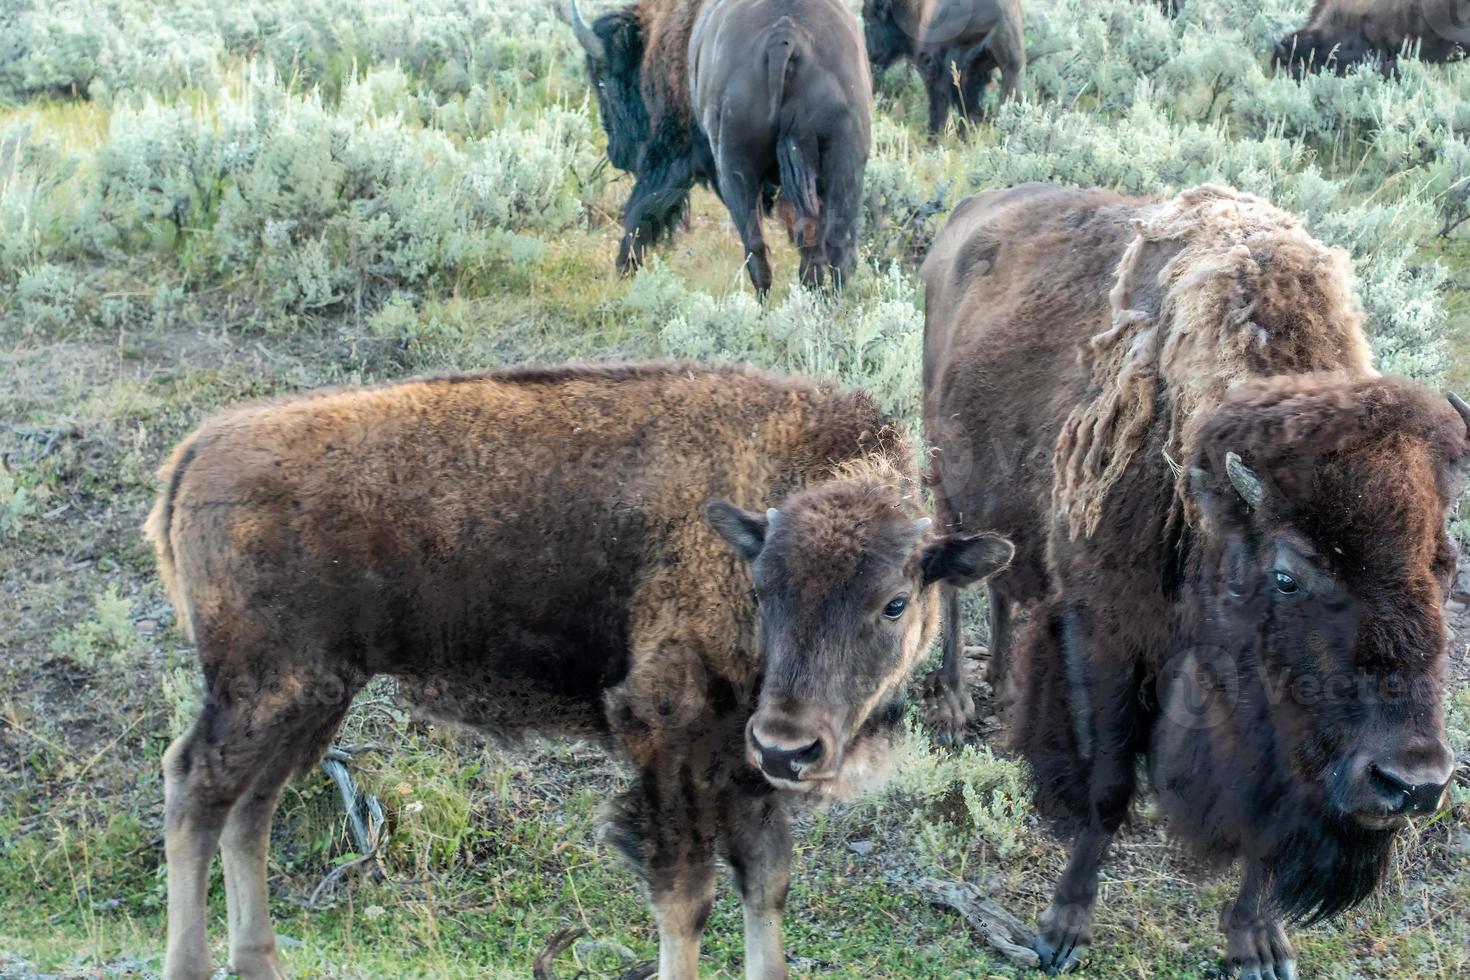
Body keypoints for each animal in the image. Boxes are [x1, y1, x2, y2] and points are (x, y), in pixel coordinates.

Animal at [155, 362, 1017, 980]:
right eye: (763, 589)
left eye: (896, 602)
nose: (791, 746)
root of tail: (199, 447)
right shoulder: (668, 742)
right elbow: (686, 899)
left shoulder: (742, 770)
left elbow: (765, 888)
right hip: (262, 691)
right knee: (195, 788)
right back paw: (192, 965)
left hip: (311, 696)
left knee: (250, 809)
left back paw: (259, 964)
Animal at [567, 0, 870, 290]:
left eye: (604, 80)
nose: (616, 152)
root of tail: (785, 37)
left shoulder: (673, 154)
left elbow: (643, 209)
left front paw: (623, 269)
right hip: (845, 162)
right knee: (835, 245)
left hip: (735, 170)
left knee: (757, 249)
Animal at [923, 182, 1464, 975]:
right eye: (1287, 576)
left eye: (1445, 565)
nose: (1411, 783)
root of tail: (969, 212)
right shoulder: (1110, 636)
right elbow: (1109, 786)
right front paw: (1061, 929)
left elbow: (1262, 824)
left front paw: (1259, 942)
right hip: (944, 479)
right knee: (951, 578)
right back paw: (959, 700)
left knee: (1001, 586)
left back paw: (1001, 687)